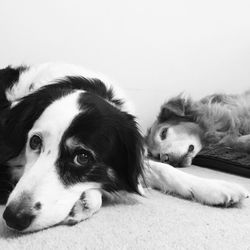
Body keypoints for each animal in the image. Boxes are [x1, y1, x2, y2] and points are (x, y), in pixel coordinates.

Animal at [0, 63, 247, 232]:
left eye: (82, 157)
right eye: (34, 142)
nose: (13, 217)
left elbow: (163, 170)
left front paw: (215, 187)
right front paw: (86, 201)